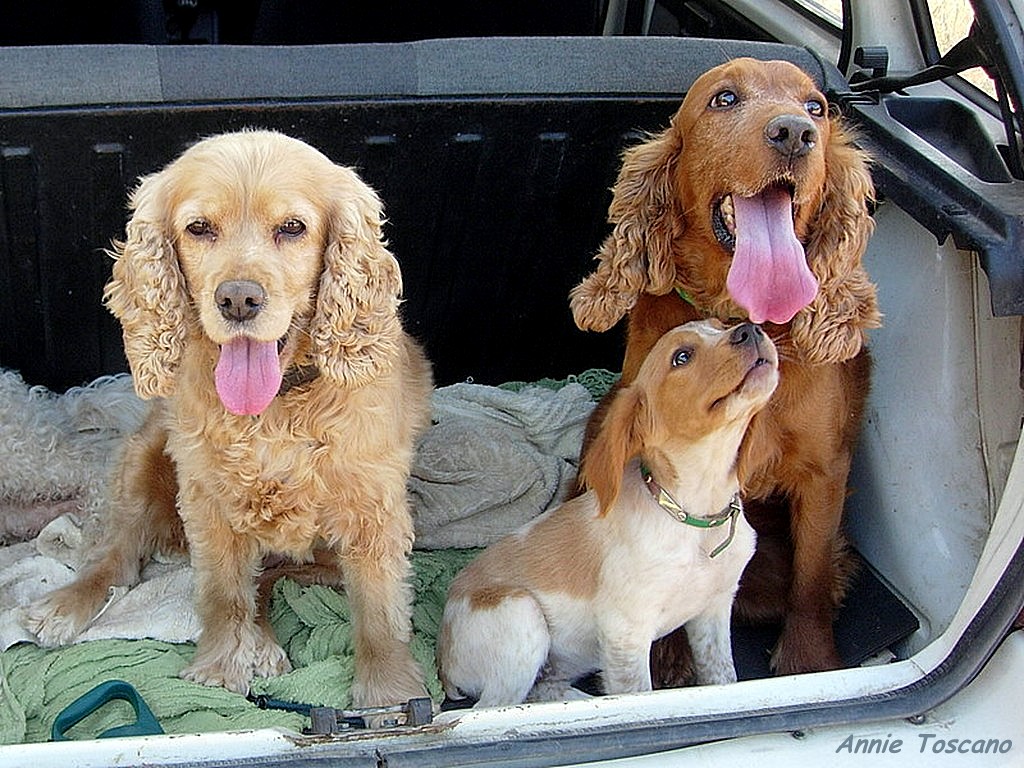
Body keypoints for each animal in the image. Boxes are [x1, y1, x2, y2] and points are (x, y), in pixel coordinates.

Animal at [436, 319, 778, 708]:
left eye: (722, 325)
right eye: (682, 356)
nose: (750, 329)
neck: (694, 515)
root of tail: (443, 660)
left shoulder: (714, 611)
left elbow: (724, 681)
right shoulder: (626, 630)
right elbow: (637, 694)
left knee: (542, 688)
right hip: (521, 616)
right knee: (497, 705)